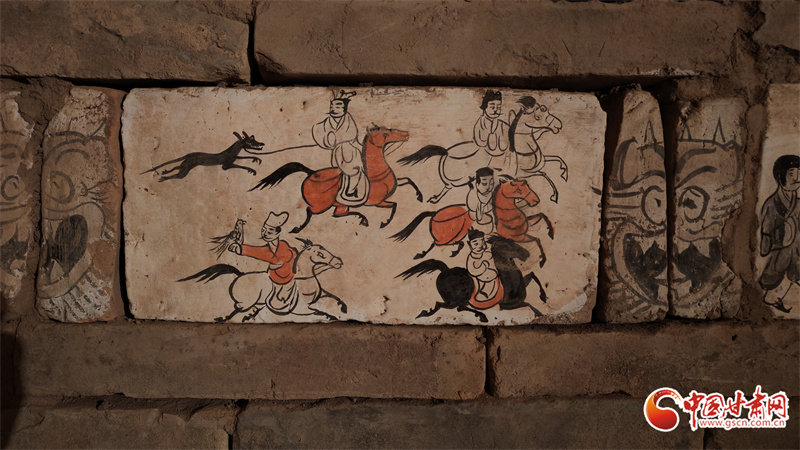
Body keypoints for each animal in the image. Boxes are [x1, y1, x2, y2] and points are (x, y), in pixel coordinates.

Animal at [179, 238, 345, 322]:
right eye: (320, 253)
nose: (338, 262)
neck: (305, 280)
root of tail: (239, 275)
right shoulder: (300, 308)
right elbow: (318, 312)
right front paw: (330, 316)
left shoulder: (320, 295)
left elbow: (333, 297)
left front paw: (342, 308)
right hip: (247, 300)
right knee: (237, 307)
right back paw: (225, 318)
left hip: (257, 301)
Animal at [251, 126, 423, 233]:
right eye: (386, 134)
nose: (406, 134)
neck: (375, 176)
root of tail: (311, 173)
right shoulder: (378, 202)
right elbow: (394, 205)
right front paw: (385, 223)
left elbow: (408, 180)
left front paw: (420, 196)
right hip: (321, 205)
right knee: (310, 211)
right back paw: (298, 228)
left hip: (340, 205)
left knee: (338, 214)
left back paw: (363, 219)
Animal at [389, 177, 554, 262]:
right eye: (519, 190)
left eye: (527, 186)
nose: (535, 200)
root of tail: (434, 213)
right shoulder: (518, 237)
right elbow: (537, 239)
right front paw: (543, 259)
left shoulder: (523, 230)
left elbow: (543, 217)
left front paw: (551, 233)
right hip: (446, 236)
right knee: (435, 244)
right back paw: (422, 254)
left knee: (454, 242)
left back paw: (457, 248)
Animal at [397, 236, 546, 323]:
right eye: (507, 245)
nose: (526, 254)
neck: (509, 280)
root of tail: (445, 270)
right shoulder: (507, 305)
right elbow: (528, 304)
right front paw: (539, 312)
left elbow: (533, 275)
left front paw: (543, 297)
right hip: (455, 300)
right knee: (445, 305)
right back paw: (425, 314)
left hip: (460, 300)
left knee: (460, 308)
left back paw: (482, 316)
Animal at [398, 106, 564, 203]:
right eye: (537, 117)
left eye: (547, 112)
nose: (558, 125)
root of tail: (446, 151)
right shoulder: (523, 173)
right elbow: (544, 174)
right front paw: (554, 196)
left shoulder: (538, 165)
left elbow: (557, 160)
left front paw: (564, 173)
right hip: (458, 179)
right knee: (448, 186)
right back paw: (434, 199)